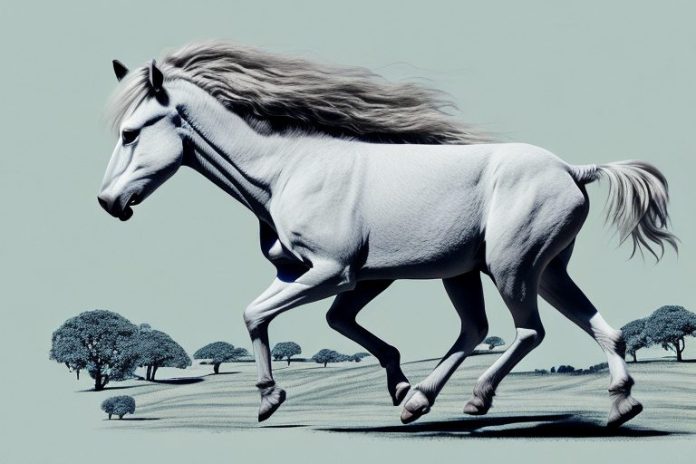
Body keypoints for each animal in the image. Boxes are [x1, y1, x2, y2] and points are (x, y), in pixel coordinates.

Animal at [98, 41, 677, 427]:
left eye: (130, 133)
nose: (107, 203)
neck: (285, 171)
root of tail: (572, 170)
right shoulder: (340, 277)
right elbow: (315, 320)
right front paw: (392, 386)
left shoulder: (333, 271)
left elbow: (259, 314)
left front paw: (270, 400)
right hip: (516, 270)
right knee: (558, 329)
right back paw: (618, 405)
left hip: (512, 267)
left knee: (526, 331)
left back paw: (472, 400)